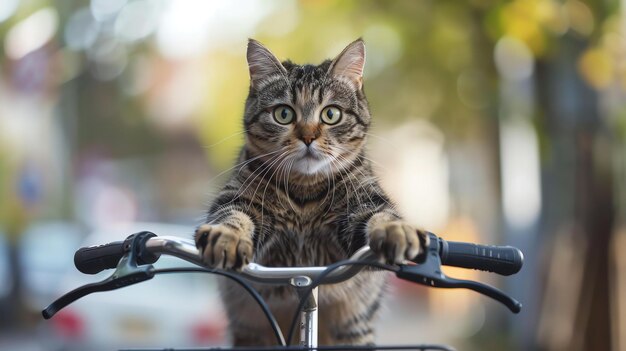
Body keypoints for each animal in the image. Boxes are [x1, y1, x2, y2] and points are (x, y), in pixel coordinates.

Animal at [194, 37, 428, 346]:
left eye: (331, 114)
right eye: (283, 114)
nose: (307, 137)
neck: (303, 192)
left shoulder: (364, 203)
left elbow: (383, 216)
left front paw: (396, 230)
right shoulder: (238, 197)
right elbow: (231, 218)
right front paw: (226, 238)